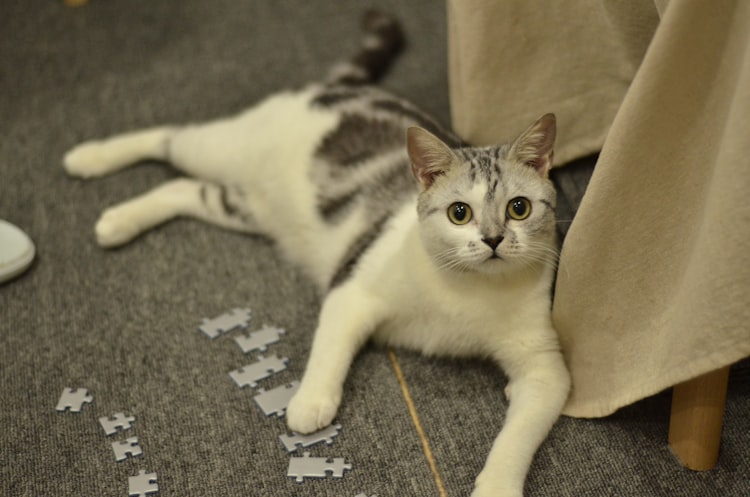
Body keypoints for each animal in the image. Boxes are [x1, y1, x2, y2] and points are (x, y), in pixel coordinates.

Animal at [63, 8, 568, 496]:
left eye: (518, 208)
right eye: (460, 213)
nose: (493, 239)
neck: (464, 293)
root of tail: (345, 85)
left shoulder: (545, 369)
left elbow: (517, 437)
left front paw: (497, 485)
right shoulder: (353, 285)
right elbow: (330, 347)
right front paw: (309, 403)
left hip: (244, 207)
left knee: (183, 188)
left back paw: (118, 222)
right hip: (220, 147)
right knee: (170, 136)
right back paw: (87, 158)